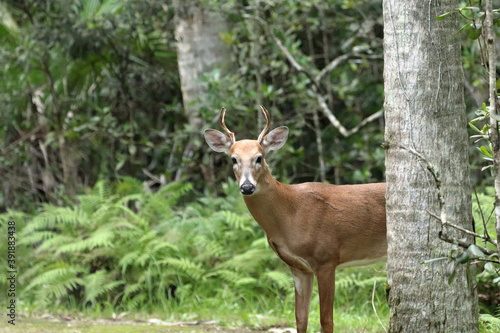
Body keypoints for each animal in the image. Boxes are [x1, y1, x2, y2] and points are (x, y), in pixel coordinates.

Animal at [203, 106, 386, 332]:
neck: (290, 213)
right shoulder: (298, 267)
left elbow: (326, 319)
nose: (247, 187)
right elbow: (300, 318)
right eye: (233, 159)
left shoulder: (327, 258)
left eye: (259, 157)